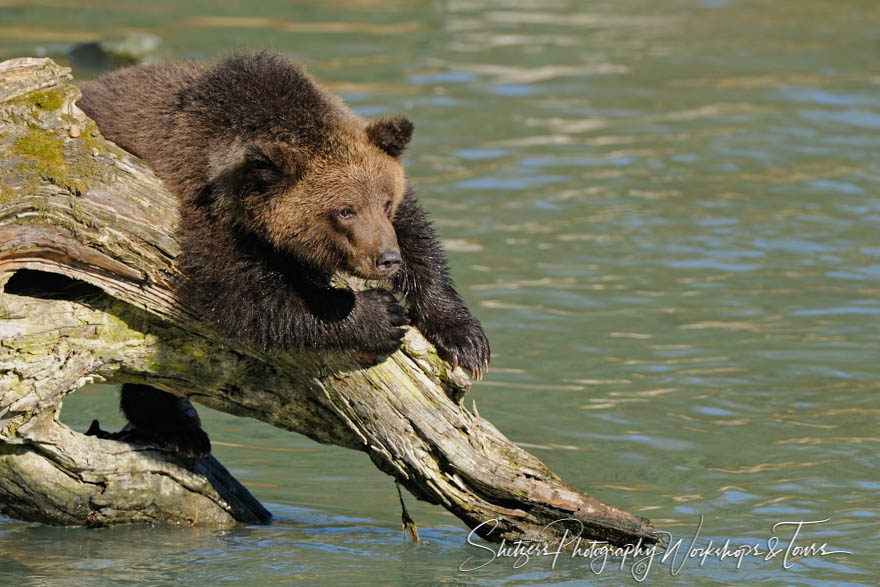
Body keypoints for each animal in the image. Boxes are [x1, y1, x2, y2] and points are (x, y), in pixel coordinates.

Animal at [75, 51, 488, 460]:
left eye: (386, 202)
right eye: (345, 210)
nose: (386, 259)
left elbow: (417, 235)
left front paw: (465, 340)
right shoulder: (200, 202)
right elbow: (244, 295)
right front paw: (378, 315)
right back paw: (178, 429)